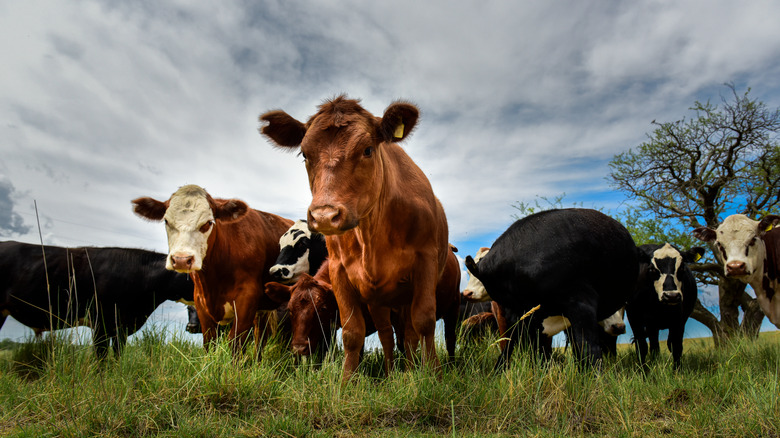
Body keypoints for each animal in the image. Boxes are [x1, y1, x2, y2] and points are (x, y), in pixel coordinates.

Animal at [133, 183, 294, 354]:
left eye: (208, 222)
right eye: (166, 221)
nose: (181, 260)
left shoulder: (247, 299)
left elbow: (235, 344)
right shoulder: (200, 302)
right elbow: (209, 343)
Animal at [260, 95, 448, 380]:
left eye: (368, 150)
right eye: (304, 154)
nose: (325, 216)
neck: (374, 233)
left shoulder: (425, 262)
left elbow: (424, 321)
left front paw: (434, 376)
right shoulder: (340, 272)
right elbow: (352, 333)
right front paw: (346, 382)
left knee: (409, 334)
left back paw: (411, 368)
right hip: (379, 299)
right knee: (387, 335)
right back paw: (391, 372)